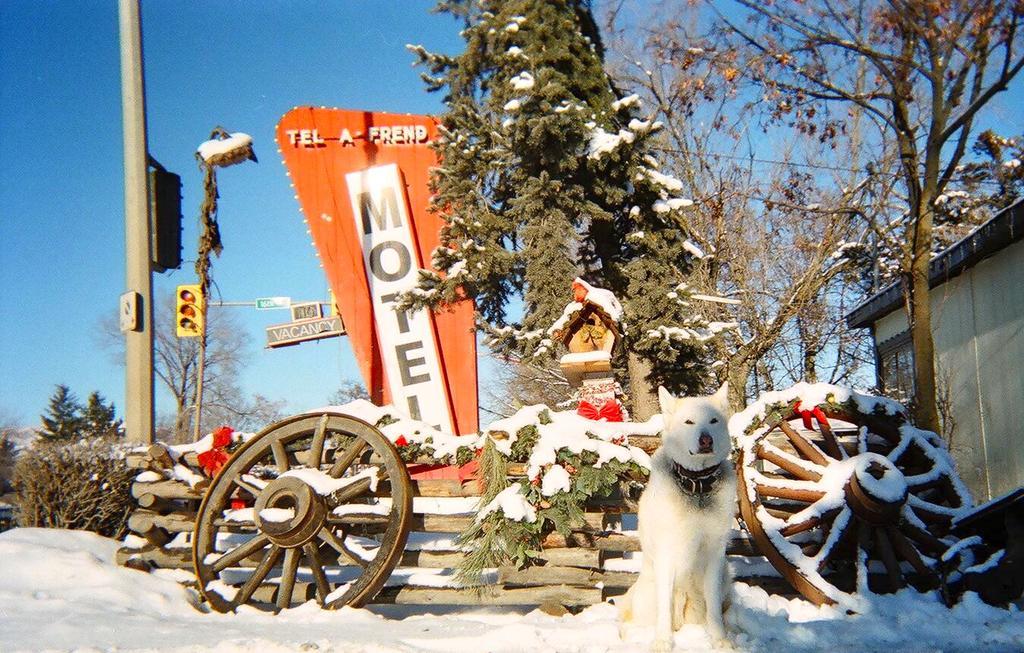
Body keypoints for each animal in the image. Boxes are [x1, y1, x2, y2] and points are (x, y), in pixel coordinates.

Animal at [618, 386, 733, 650]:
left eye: (713, 421)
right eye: (689, 422)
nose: (706, 440)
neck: (697, 485)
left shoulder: (715, 554)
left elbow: (714, 607)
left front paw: (720, 640)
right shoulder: (667, 553)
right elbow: (664, 610)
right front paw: (662, 642)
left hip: (725, 574)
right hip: (647, 596)